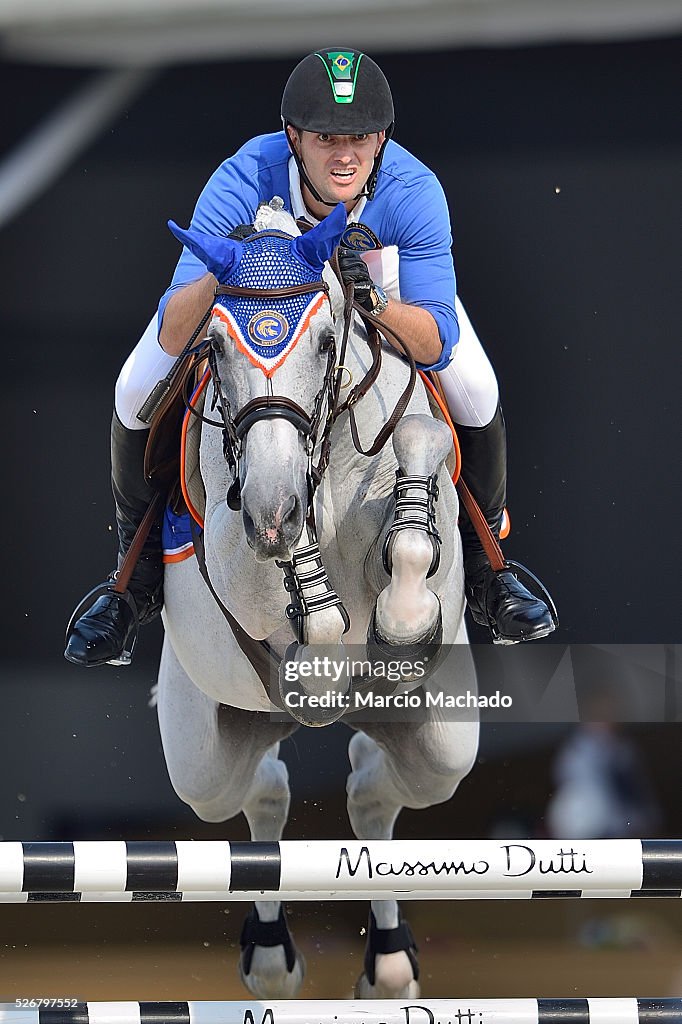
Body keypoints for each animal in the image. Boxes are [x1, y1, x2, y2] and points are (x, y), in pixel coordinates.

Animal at [155, 201, 475, 999]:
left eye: (328, 338)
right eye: (213, 344)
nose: (274, 509)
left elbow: (415, 534)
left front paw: (396, 624)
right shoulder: (234, 551)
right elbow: (313, 624)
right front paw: (315, 661)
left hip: (442, 740)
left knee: (378, 790)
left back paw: (387, 963)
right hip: (204, 751)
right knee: (258, 791)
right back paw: (272, 956)